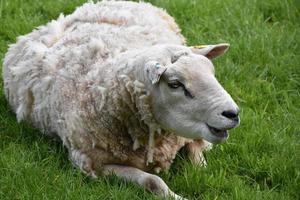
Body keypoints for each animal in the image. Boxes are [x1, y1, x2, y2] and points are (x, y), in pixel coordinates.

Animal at [2, 0, 240, 199]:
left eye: (211, 72)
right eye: (175, 84)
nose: (233, 114)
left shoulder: (188, 138)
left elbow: (199, 159)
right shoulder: (94, 164)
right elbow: (152, 181)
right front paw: (177, 196)